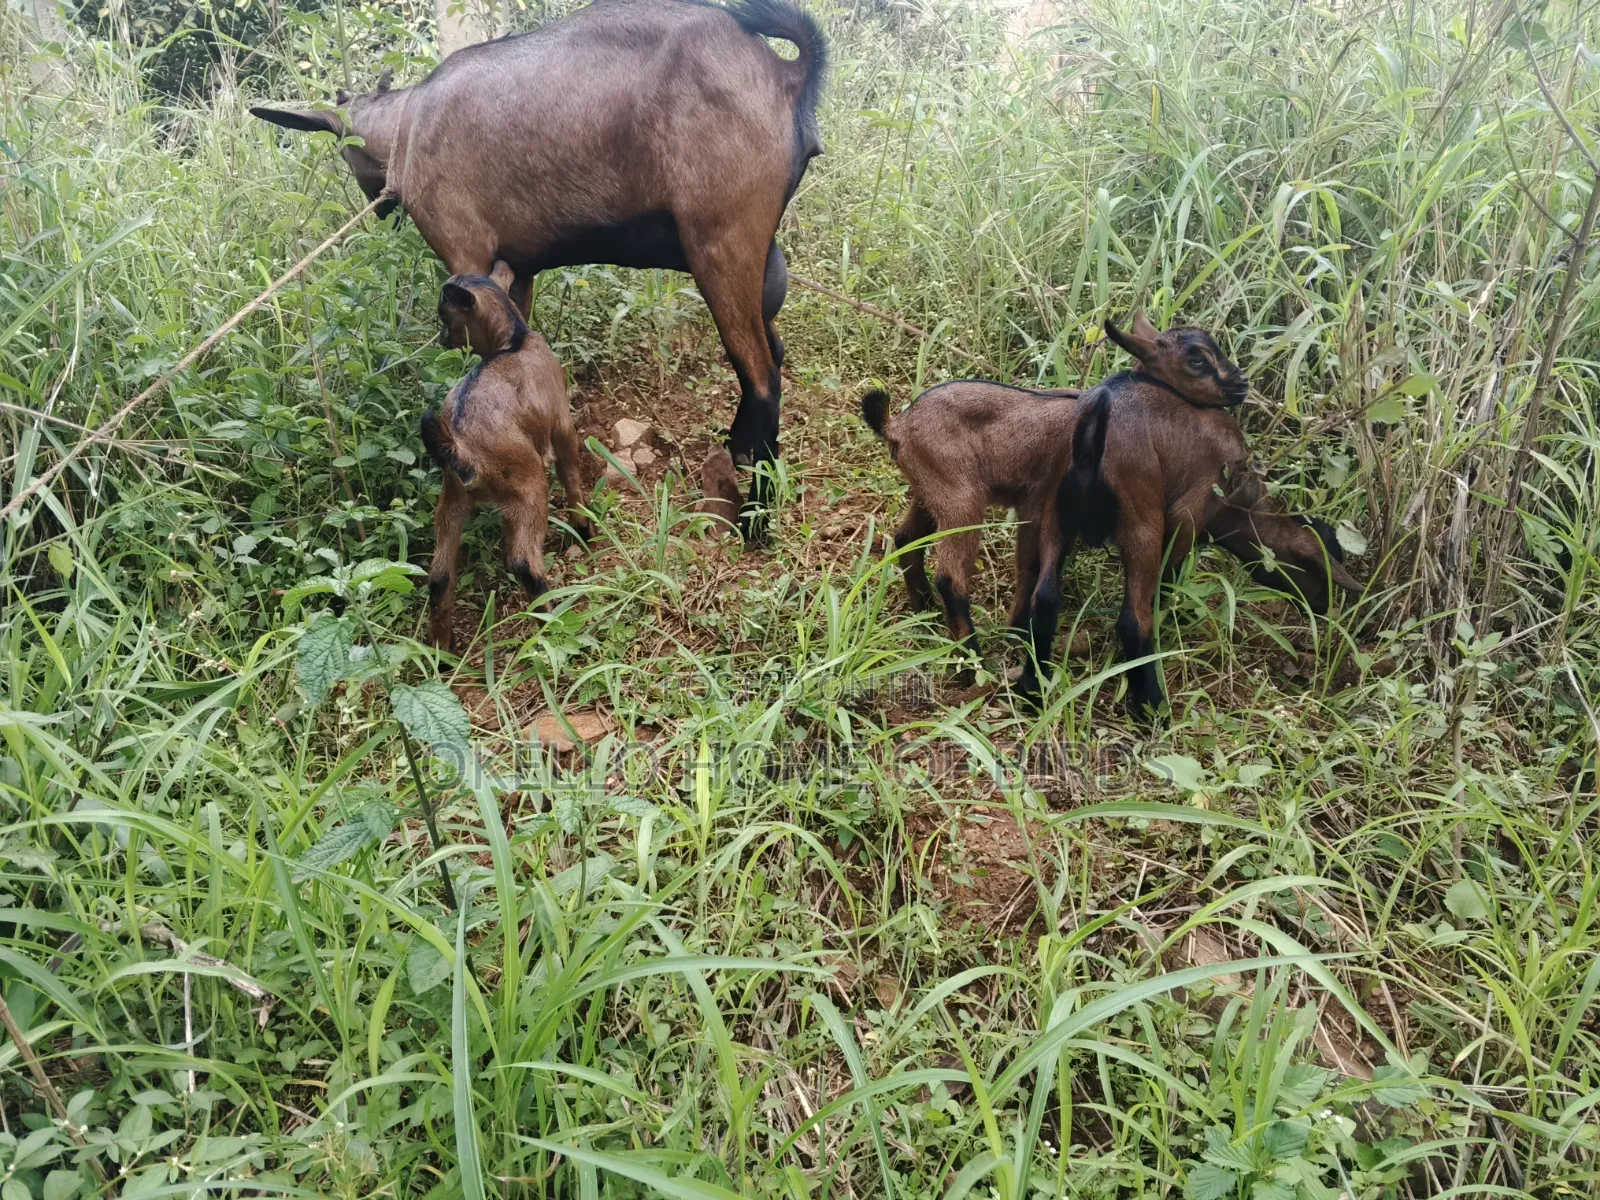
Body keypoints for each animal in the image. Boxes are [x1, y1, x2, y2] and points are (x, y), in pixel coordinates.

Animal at [252, 0, 828, 536]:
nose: (379, 210)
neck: (408, 122)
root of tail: (786, 73)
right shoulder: (518, 270)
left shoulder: (465, 252)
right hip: (759, 262)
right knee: (772, 353)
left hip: (721, 241)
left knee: (761, 374)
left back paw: (755, 516)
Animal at [421, 262, 591, 651]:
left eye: (444, 316)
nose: (441, 339)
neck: (516, 341)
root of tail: (459, 445)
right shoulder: (561, 422)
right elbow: (572, 476)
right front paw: (585, 529)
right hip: (528, 486)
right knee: (524, 563)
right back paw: (551, 623)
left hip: (452, 500)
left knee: (439, 576)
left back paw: (442, 648)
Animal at [860, 381, 1106, 696]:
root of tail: (897, 424)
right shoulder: (1042, 503)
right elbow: (1035, 573)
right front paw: (1019, 637)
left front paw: (1017, 632)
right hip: (962, 497)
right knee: (949, 577)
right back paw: (972, 663)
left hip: (929, 492)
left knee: (905, 539)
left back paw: (926, 613)